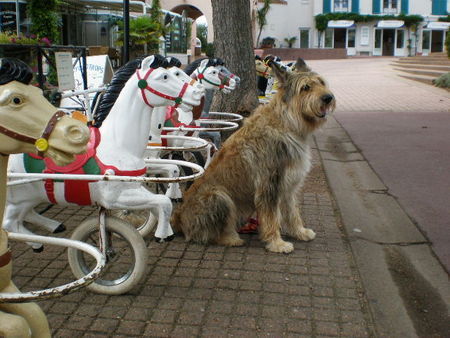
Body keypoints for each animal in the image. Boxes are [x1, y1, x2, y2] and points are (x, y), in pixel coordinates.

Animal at [171, 58, 334, 252]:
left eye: (321, 82)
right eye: (306, 87)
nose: (328, 98)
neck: (287, 122)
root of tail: (178, 218)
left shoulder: (288, 184)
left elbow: (293, 212)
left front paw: (299, 232)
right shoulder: (268, 185)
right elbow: (271, 217)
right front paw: (276, 243)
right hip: (219, 196)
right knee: (212, 233)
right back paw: (231, 238)